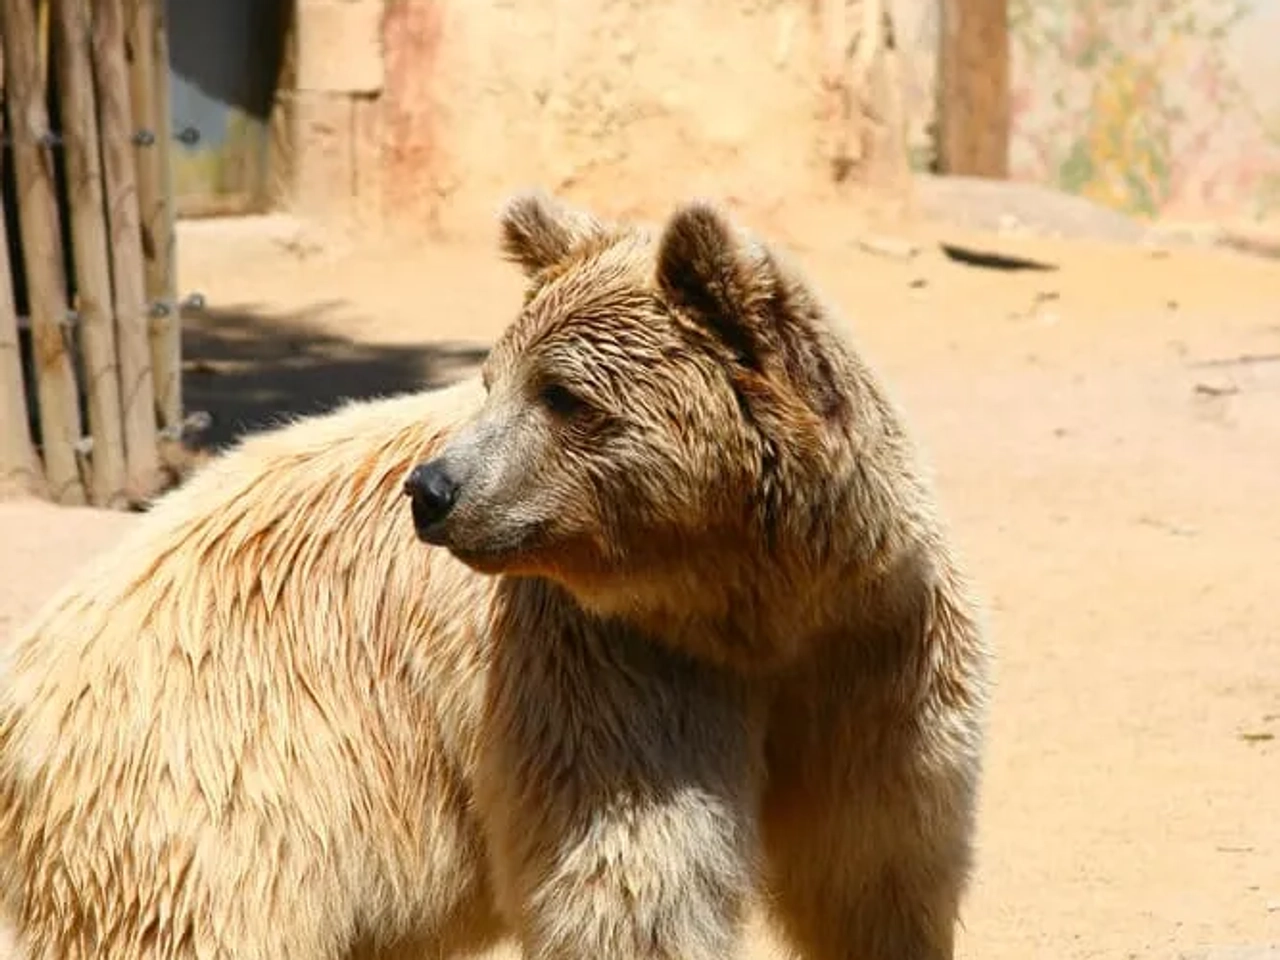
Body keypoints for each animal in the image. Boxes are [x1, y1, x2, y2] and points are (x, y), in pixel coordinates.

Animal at [0, 190, 990, 960]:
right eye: (493, 378)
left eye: (563, 395)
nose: (432, 488)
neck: (753, 607)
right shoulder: (609, 669)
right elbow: (636, 885)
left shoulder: (876, 658)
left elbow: (876, 870)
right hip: (209, 780)